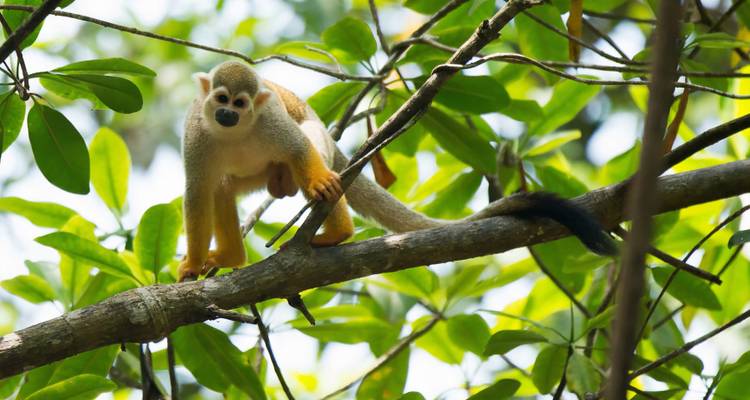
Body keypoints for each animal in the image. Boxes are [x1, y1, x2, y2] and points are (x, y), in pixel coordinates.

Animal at [178, 61, 616, 281]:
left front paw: (320, 185)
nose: (227, 114)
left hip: (312, 142)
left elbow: (299, 148)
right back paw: (232, 255)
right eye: (221, 99)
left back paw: (336, 230)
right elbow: (198, 193)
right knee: (222, 186)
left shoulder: (270, 122)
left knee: (310, 151)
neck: (235, 131)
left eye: (240, 103)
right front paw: (193, 265)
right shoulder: (195, 133)